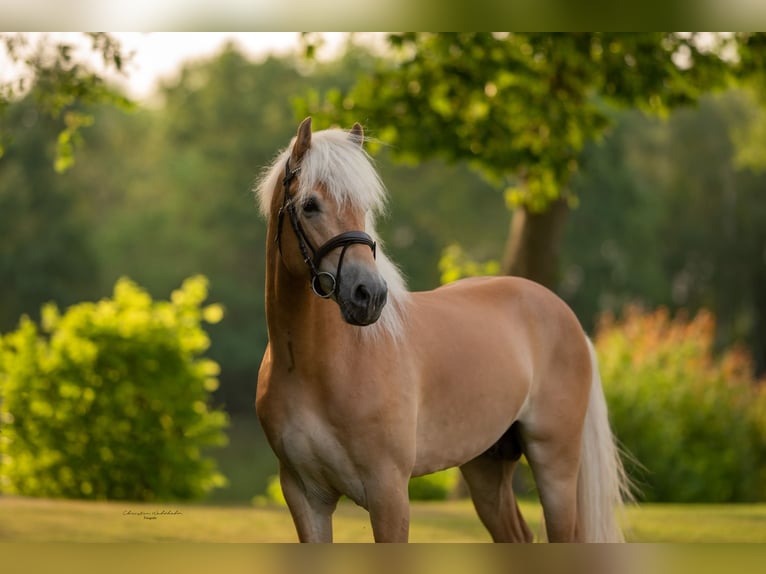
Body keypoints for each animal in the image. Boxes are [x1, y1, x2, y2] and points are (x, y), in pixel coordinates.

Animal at [255, 118, 632, 544]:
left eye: (363, 208)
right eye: (309, 205)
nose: (369, 295)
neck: (314, 367)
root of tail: (567, 318)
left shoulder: (389, 495)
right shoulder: (305, 498)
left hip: (556, 467)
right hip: (486, 467)